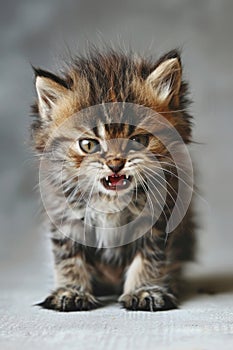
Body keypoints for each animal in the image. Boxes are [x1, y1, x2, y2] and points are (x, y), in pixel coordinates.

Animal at [31, 48, 195, 312]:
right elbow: (68, 257)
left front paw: (144, 291)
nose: (115, 164)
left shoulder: (160, 218)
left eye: (138, 140)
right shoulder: (64, 214)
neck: (110, 201)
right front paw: (71, 291)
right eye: (88, 145)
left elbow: (150, 258)